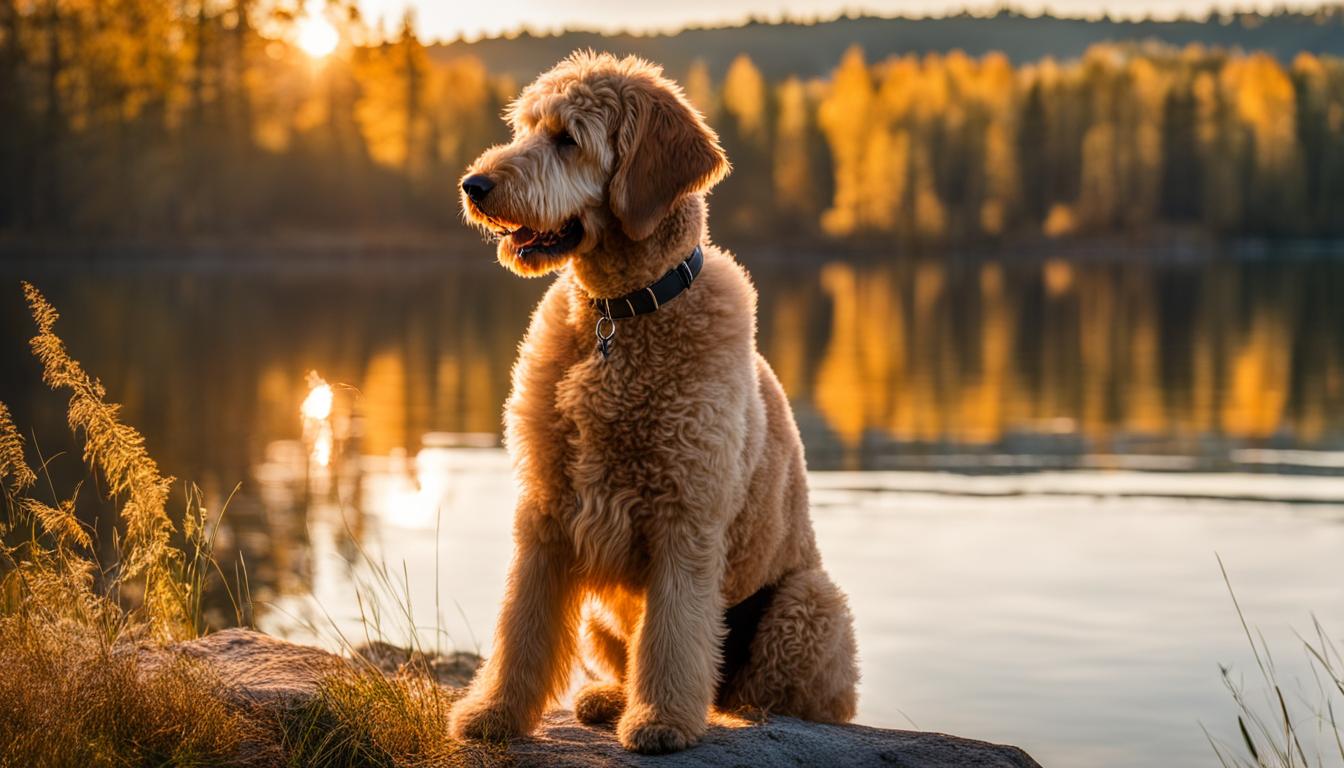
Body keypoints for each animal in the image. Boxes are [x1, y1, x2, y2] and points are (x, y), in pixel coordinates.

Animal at [446, 51, 854, 753]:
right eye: (525, 128)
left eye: (568, 139)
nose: (475, 185)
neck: (620, 317)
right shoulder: (546, 510)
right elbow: (521, 628)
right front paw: (495, 713)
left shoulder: (686, 517)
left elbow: (672, 639)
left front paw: (661, 721)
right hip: (605, 618)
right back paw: (608, 698)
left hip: (809, 605)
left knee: (763, 694)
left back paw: (726, 712)